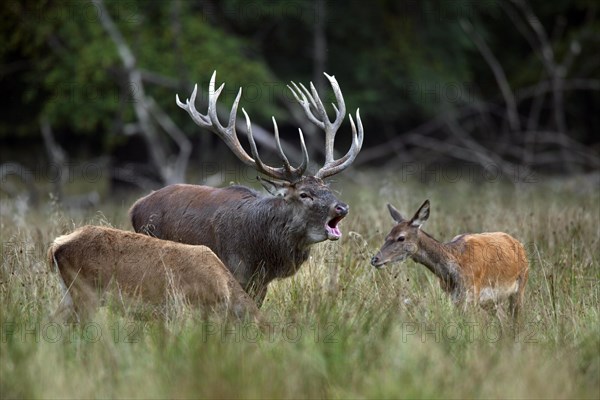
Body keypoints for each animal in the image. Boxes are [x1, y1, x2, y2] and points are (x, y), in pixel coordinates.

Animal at [129, 72, 364, 304]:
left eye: (327, 188)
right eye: (304, 194)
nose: (342, 207)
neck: (261, 252)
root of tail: (135, 207)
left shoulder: (262, 283)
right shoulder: (234, 270)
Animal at [370, 202, 528, 320]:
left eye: (401, 237)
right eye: (386, 236)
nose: (375, 259)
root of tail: (519, 245)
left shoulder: (472, 294)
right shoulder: (453, 297)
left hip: (520, 287)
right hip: (493, 301)